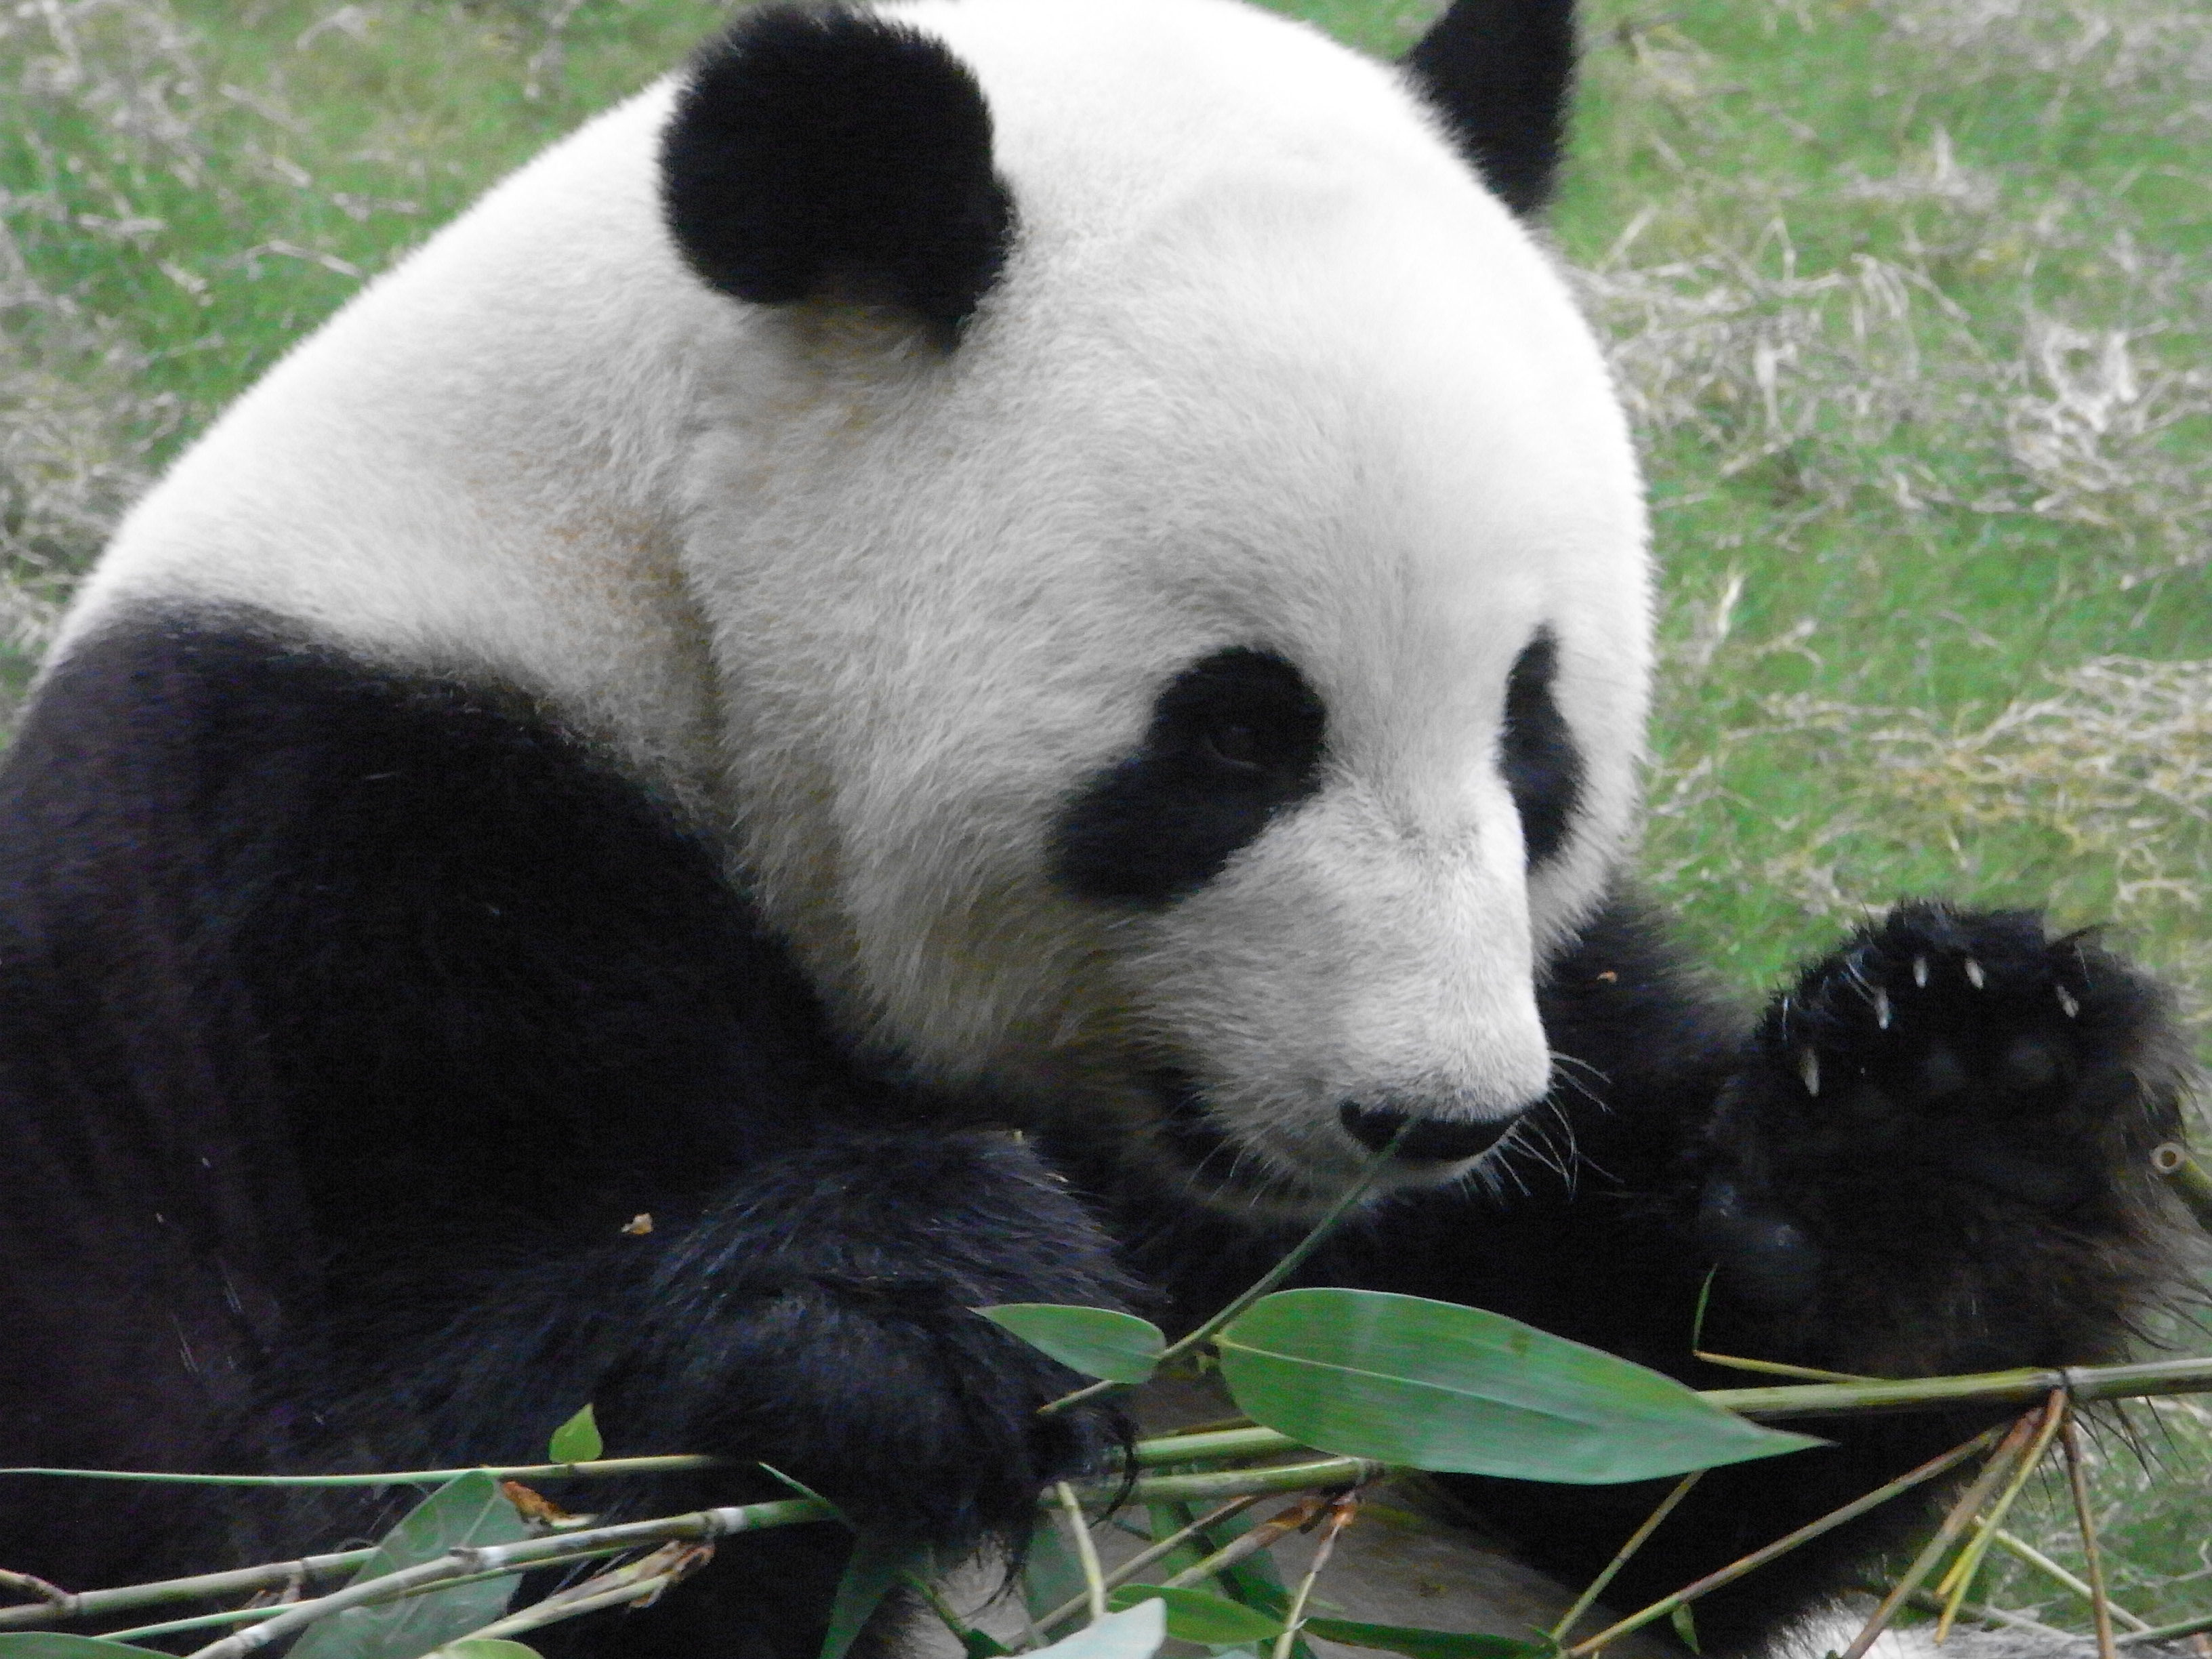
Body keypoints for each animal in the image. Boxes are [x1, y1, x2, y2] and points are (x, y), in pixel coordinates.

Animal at [0, 0, 2185, 1654]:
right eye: (1234, 738)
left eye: (1531, 729)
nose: (1437, 1115)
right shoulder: (291, 854)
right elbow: (292, 1504)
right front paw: (906, 1306)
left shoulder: (1523, 1077)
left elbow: (1652, 1452)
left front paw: (1948, 1092)